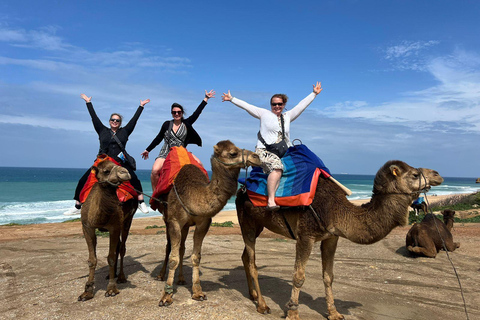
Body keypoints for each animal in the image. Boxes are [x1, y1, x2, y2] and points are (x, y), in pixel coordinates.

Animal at [77, 159, 137, 302]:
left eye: (117, 166)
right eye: (106, 171)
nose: (125, 172)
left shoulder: (114, 227)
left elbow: (111, 257)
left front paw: (111, 289)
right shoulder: (87, 227)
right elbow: (92, 259)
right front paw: (87, 291)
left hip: (127, 221)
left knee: (122, 248)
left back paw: (120, 277)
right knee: (118, 247)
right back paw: (112, 274)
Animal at [157, 141, 262, 306]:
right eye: (233, 153)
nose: (256, 157)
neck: (193, 194)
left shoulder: (203, 223)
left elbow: (196, 257)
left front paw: (197, 292)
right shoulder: (174, 221)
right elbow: (173, 258)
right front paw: (166, 296)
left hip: (185, 226)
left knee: (181, 248)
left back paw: (181, 279)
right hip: (167, 219)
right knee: (169, 248)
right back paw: (161, 275)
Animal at [235, 160, 442, 320]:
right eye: (415, 174)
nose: (438, 175)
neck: (335, 209)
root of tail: (241, 189)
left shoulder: (331, 237)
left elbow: (329, 277)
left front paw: (334, 313)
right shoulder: (305, 236)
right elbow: (299, 276)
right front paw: (293, 313)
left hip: (258, 224)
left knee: (245, 256)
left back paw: (253, 295)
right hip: (246, 221)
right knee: (252, 261)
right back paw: (262, 305)